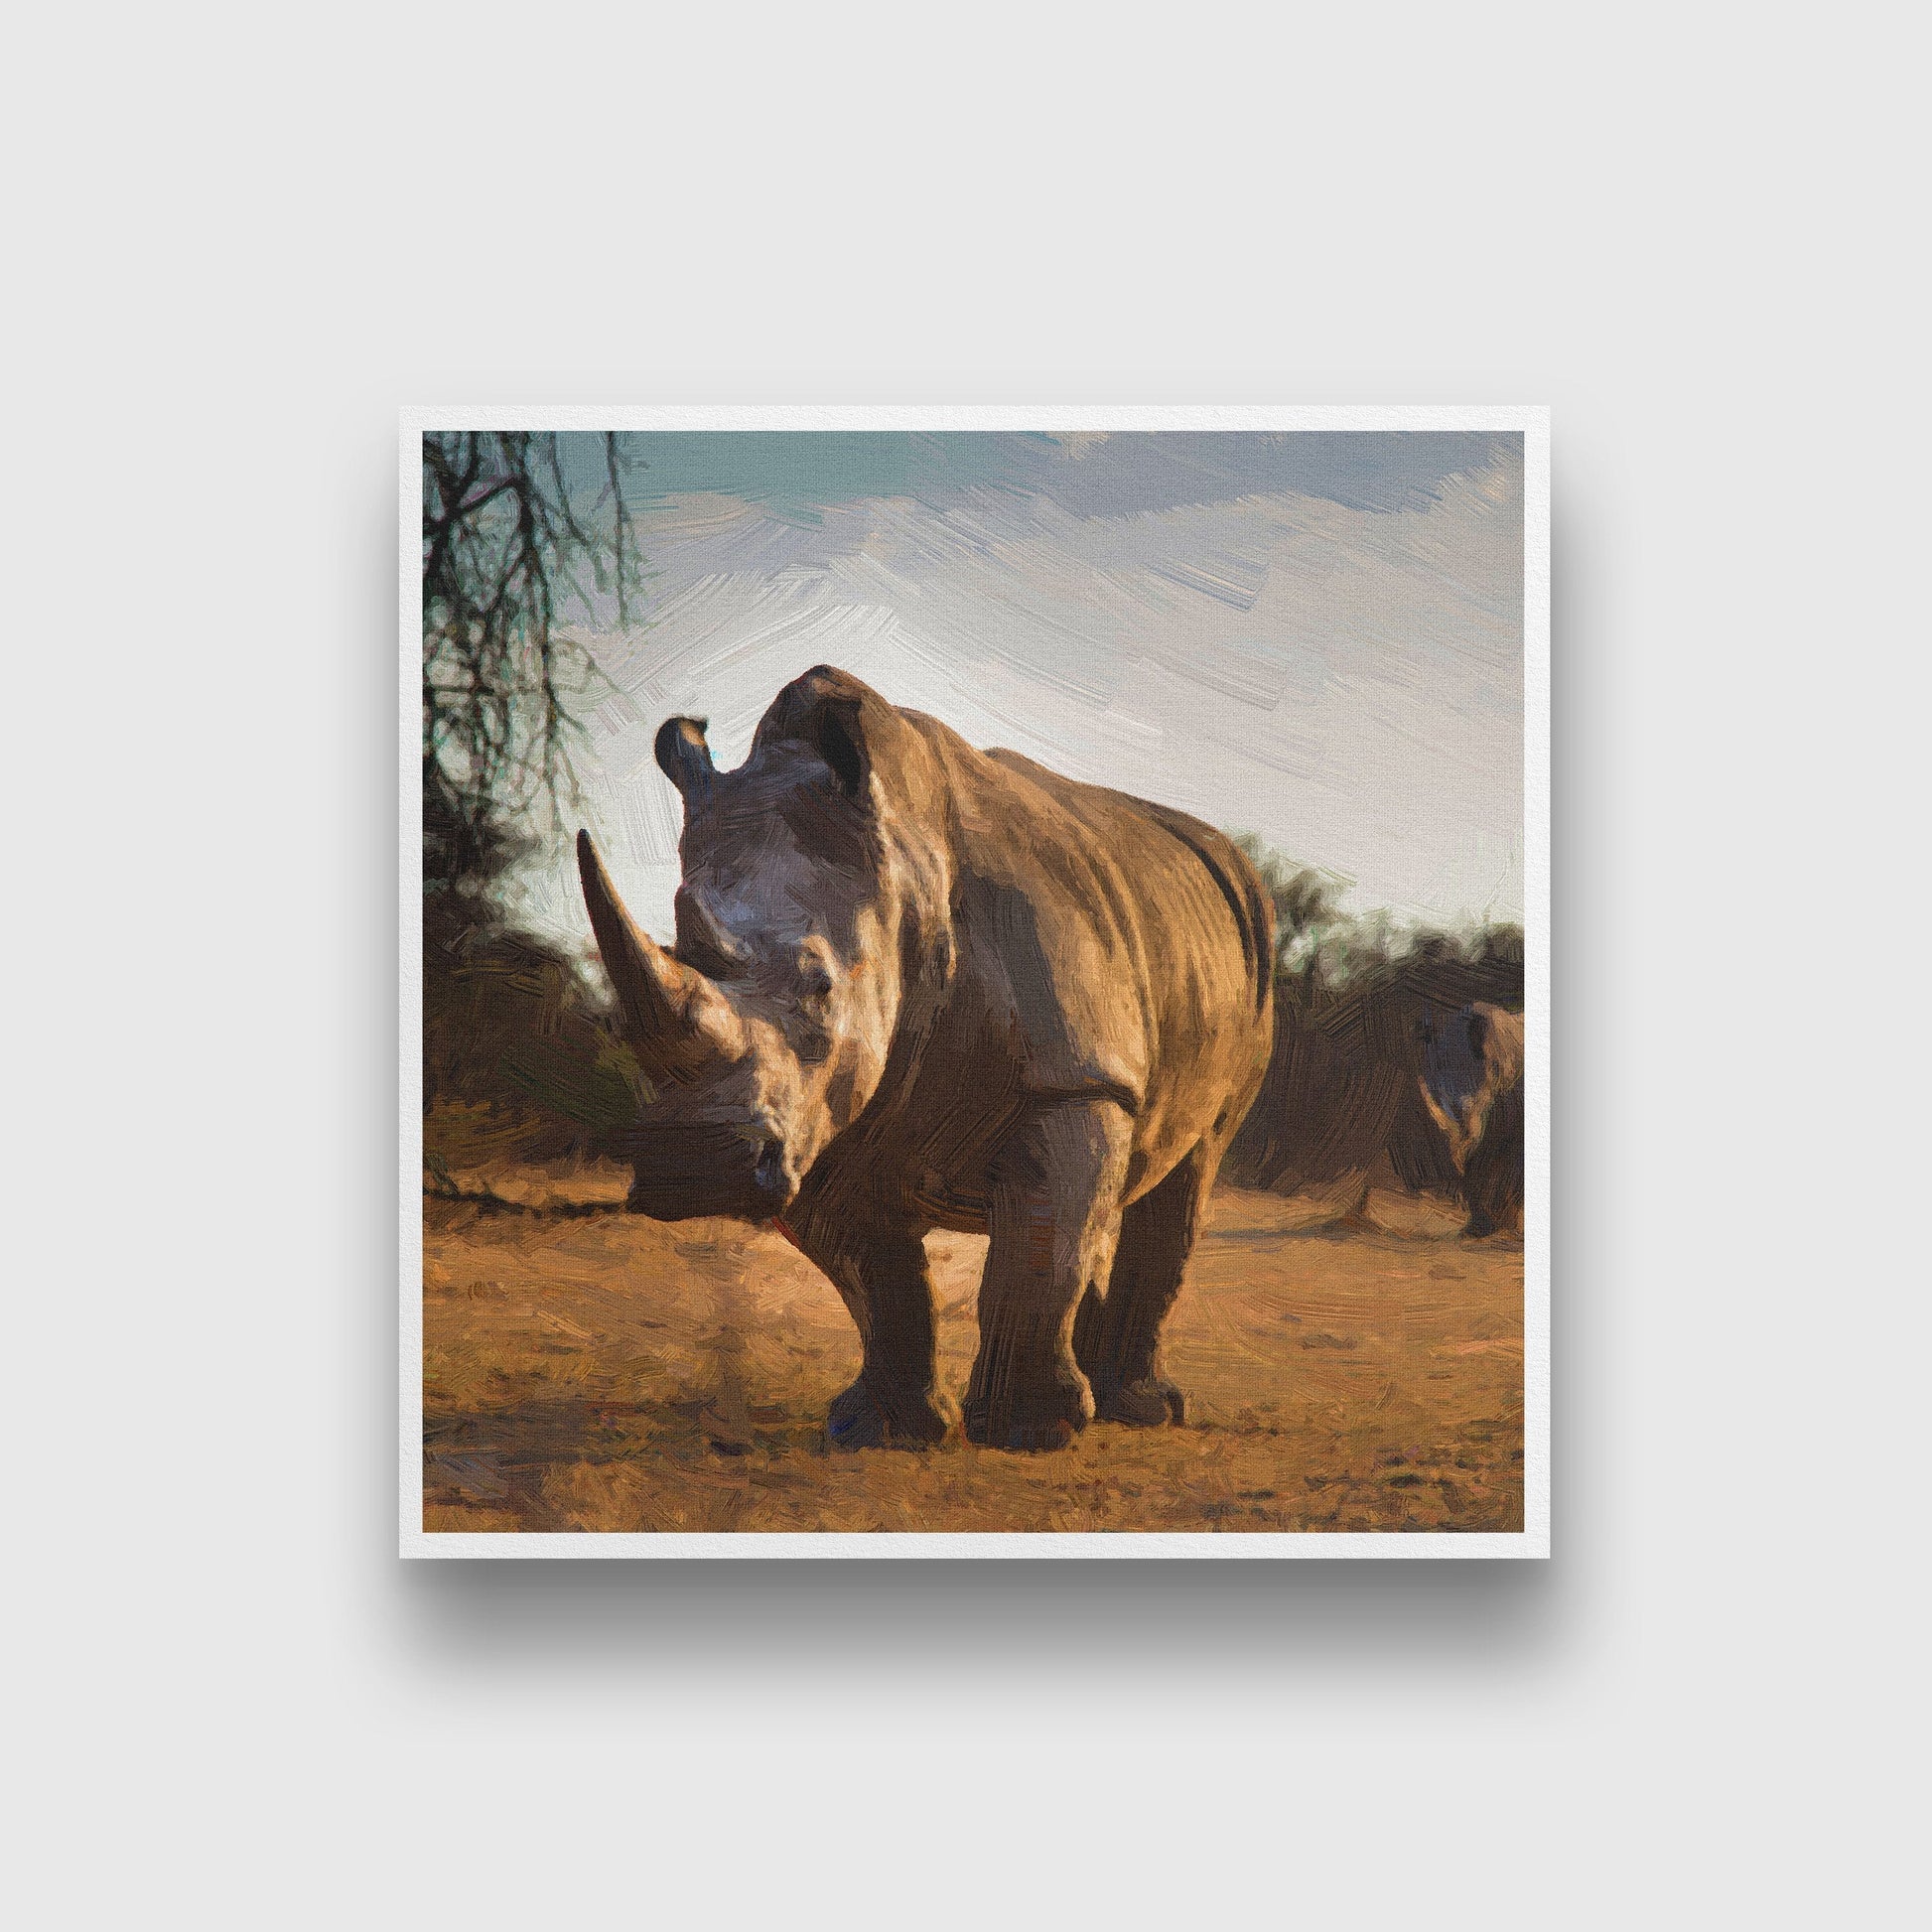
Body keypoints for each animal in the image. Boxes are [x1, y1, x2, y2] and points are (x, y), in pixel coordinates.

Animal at [575, 665, 1274, 1452]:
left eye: (821, 987)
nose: (691, 1165)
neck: (904, 879)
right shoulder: (824, 1115)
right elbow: (879, 1280)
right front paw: (883, 1430)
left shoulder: (1072, 1077)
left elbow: (1039, 1248)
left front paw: (1027, 1432)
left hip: (1250, 951)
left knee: (1190, 1165)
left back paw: (1141, 1409)